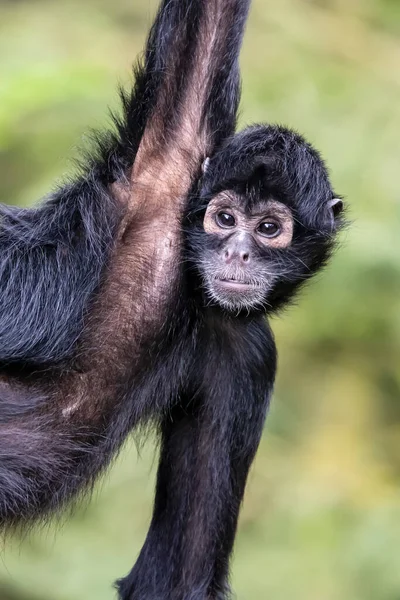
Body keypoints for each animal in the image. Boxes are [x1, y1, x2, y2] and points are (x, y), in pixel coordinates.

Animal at [0, 0, 344, 596]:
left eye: (269, 228)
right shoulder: (159, 183)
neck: (189, 298)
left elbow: (176, 577)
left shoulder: (245, 350)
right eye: (225, 219)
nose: (237, 254)